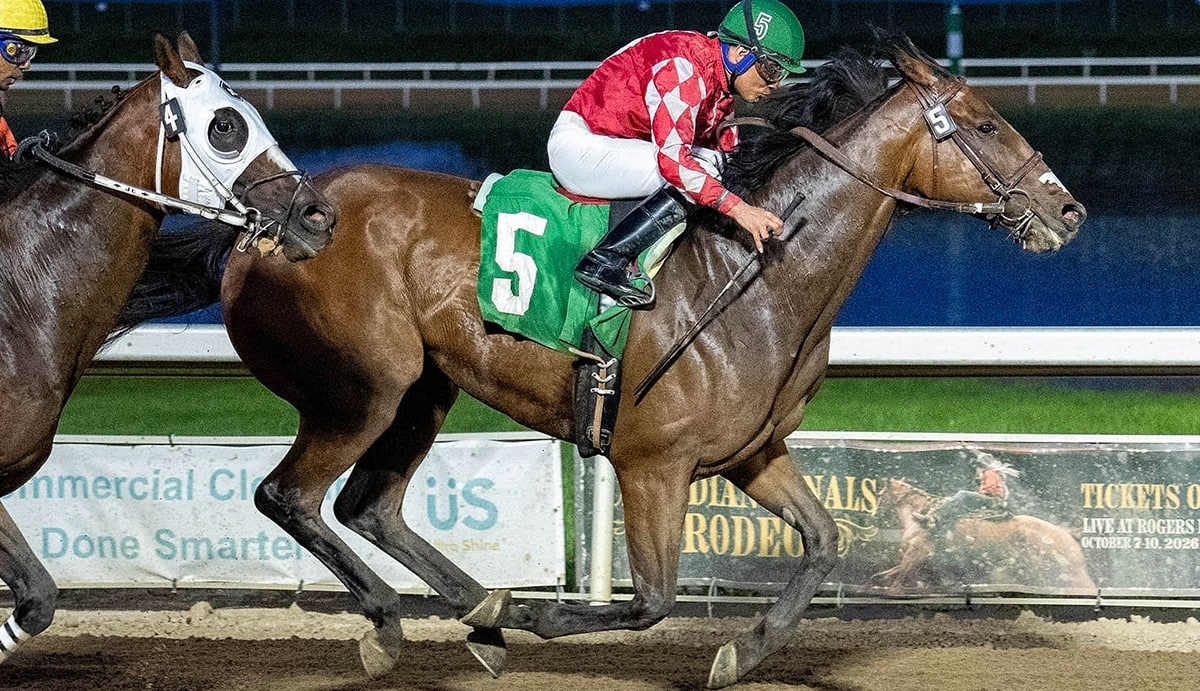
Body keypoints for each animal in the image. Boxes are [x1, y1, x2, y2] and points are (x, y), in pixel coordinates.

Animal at [872, 478, 1095, 593]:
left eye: (881, 494)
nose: (873, 514)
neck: (920, 514)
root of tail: (1067, 534)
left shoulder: (914, 556)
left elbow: (896, 585)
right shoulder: (919, 562)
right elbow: (882, 577)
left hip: (1068, 574)